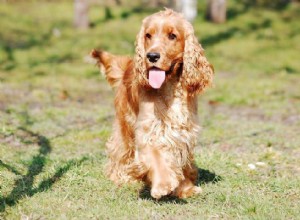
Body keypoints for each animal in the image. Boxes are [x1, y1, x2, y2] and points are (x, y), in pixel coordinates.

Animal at [91, 8, 213, 199]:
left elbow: (179, 158)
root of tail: (128, 65)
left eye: (172, 36)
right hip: (125, 124)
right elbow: (156, 155)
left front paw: (185, 188)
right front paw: (163, 184)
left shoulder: (183, 131)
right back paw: (123, 176)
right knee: (120, 151)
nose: (152, 56)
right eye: (148, 35)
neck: (169, 88)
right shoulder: (148, 129)